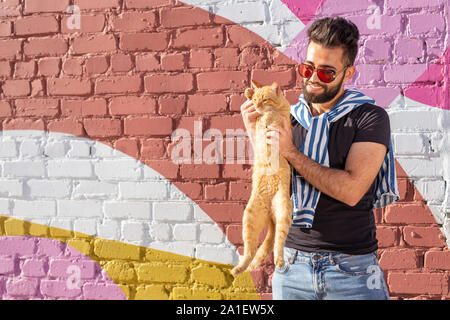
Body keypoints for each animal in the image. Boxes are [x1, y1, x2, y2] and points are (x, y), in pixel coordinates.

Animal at [230, 79, 294, 276]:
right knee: (250, 250)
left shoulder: (283, 120)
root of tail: (270, 215)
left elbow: (273, 115)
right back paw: (239, 268)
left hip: (283, 212)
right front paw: (248, 93)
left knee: (278, 244)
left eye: (264, 99)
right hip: (250, 218)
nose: (257, 105)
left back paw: (279, 261)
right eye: (255, 100)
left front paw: (268, 116)